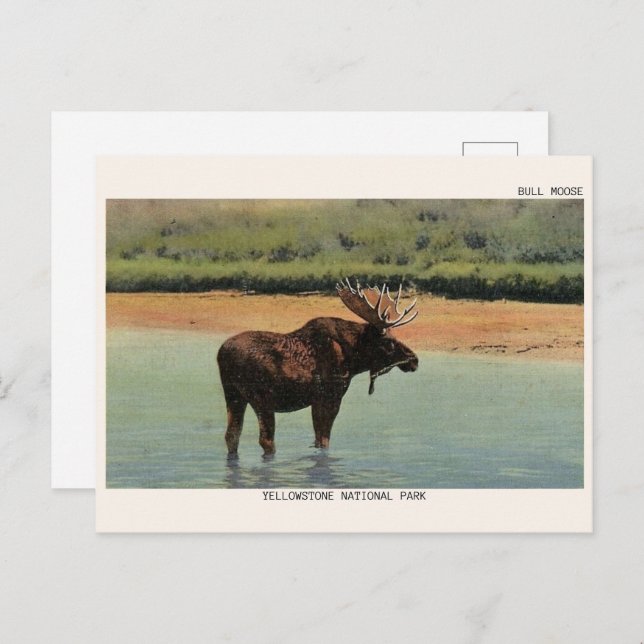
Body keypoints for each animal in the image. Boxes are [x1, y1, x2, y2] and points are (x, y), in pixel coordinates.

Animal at [216, 279, 419, 457]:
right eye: (388, 342)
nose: (415, 360)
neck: (353, 358)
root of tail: (222, 354)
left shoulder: (315, 401)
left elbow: (317, 439)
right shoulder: (330, 397)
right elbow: (323, 440)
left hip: (233, 394)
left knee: (232, 435)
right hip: (261, 399)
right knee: (265, 440)